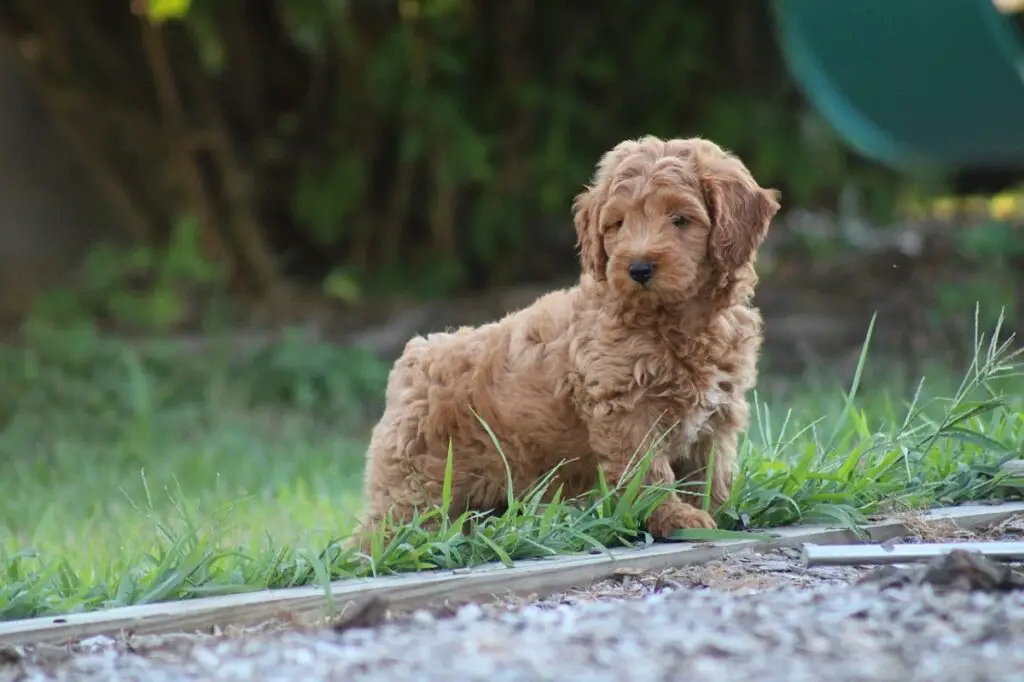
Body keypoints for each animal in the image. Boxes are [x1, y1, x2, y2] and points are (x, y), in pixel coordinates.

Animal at [356, 135, 778, 544]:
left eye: (680, 219)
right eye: (618, 224)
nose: (638, 268)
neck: (675, 320)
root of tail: (416, 354)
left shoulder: (718, 413)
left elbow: (711, 472)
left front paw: (719, 514)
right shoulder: (626, 409)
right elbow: (648, 473)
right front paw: (675, 518)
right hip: (413, 485)